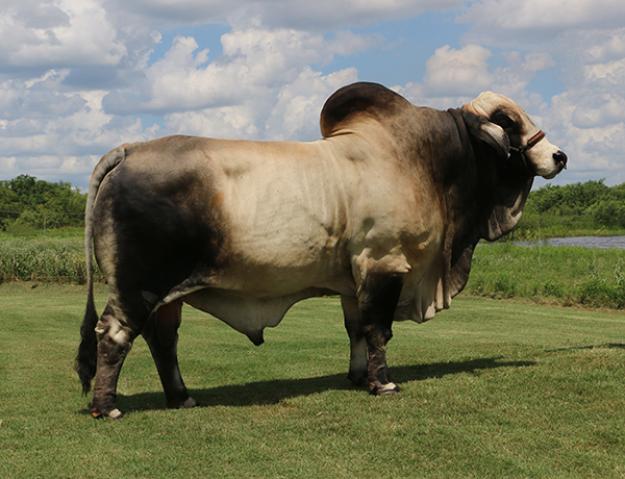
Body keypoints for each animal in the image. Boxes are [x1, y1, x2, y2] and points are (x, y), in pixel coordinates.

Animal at [75, 82, 567, 419]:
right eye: (510, 124)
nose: (559, 156)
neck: (423, 163)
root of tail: (130, 149)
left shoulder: (355, 280)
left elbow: (356, 330)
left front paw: (358, 377)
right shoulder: (385, 264)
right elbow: (379, 329)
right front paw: (383, 384)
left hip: (167, 294)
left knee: (164, 340)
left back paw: (182, 398)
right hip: (137, 286)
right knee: (114, 335)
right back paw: (107, 407)